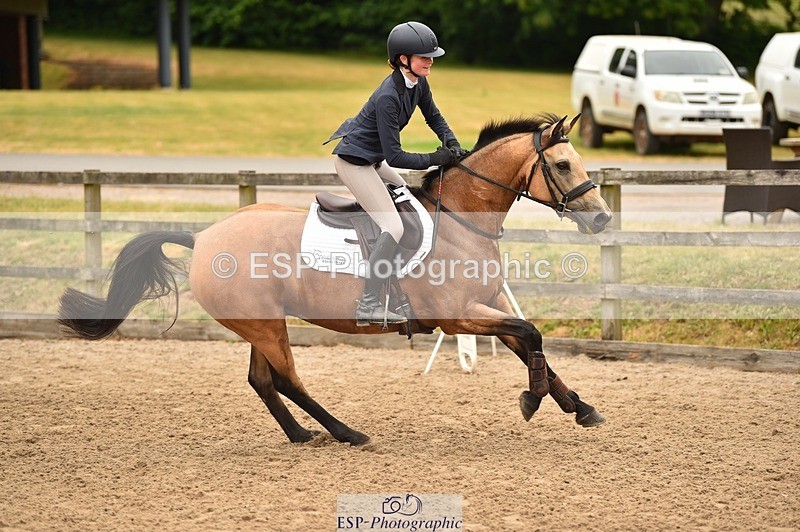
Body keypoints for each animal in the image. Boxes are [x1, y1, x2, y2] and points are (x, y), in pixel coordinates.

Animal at [58, 113, 612, 446]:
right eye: (563, 164)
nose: (603, 218)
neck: (461, 218)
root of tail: (204, 236)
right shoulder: (459, 317)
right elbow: (530, 336)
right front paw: (533, 400)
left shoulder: (489, 305)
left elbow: (531, 343)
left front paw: (578, 406)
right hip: (265, 325)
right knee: (287, 379)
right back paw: (346, 432)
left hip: (262, 321)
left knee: (263, 379)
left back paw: (302, 435)